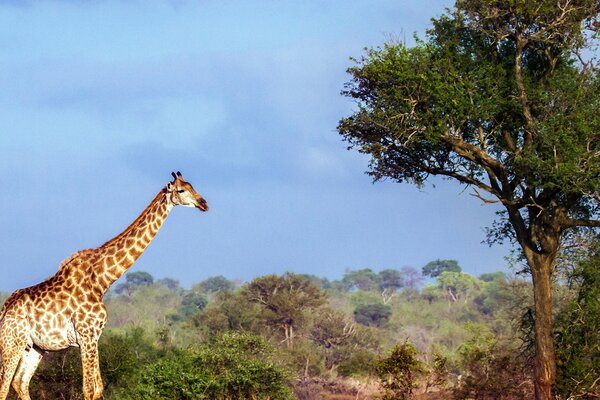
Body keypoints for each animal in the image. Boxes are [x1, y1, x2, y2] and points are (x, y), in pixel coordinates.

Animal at [0, 172, 209, 400]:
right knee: (4, 386)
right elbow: (88, 389)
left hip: (35, 347)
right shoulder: (86, 335)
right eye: (181, 190)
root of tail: (4, 311)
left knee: (20, 382)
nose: (203, 204)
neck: (102, 280)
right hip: (12, 343)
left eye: (193, 186)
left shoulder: (95, 337)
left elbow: (98, 389)